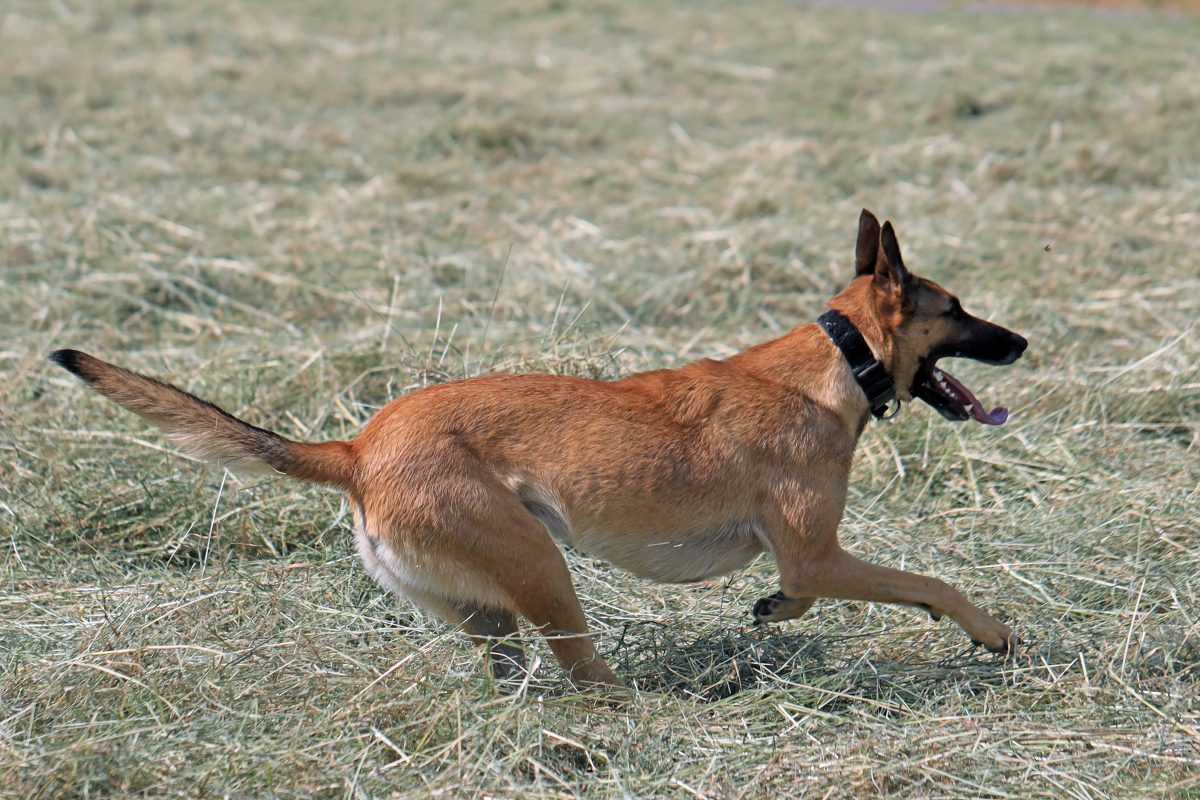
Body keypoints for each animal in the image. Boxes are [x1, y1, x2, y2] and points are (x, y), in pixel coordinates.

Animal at [51, 211, 1027, 690]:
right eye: (958, 310)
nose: (1020, 341)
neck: (835, 361)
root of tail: (358, 448)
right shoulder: (819, 553)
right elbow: (929, 584)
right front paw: (992, 633)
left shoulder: (810, 559)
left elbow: (802, 593)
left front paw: (772, 611)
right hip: (544, 567)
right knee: (588, 676)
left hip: (493, 603)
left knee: (521, 676)